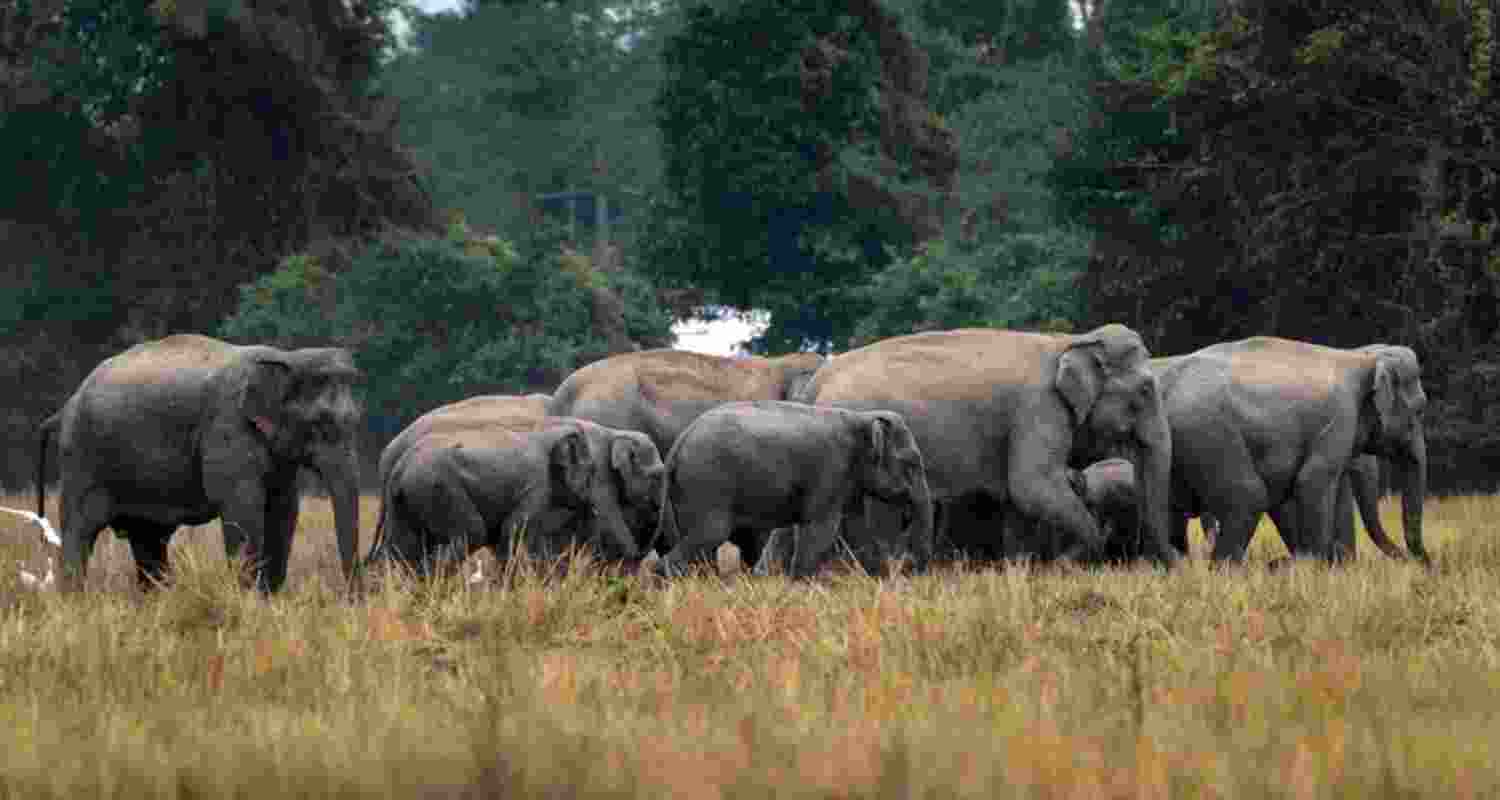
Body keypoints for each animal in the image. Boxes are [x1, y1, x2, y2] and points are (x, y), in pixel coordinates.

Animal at [36, 334, 363, 593]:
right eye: (321, 425)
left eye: (356, 421)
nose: (352, 599)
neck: (287, 357)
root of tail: (65, 407)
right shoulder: (228, 428)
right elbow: (242, 509)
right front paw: (247, 599)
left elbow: (283, 510)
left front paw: (268, 600)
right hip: (81, 457)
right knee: (80, 532)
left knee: (148, 541)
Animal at [365, 417, 664, 576]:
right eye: (657, 476)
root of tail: (398, 465)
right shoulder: (546, 485)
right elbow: (513, 531)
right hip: (439, 488)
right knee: (470, 533)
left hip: (406, 498)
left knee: (401, 548)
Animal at [652, 401, 933, 579]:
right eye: (911, 463)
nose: (909, 569)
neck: (861, 417)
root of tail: (678, 444)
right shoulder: (830, 468)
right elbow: (821, 529)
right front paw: (801, 585)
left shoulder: (848, 479)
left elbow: (857, 530)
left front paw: (883, 584)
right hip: (707, 484)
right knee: (709, 535)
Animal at [795, 325, 1177, 570]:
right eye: (1146, 390)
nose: (1172, 562)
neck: (1071, 342)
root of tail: (816, 383)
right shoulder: (1039, 408)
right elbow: (1032, 485)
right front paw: (1066, 564)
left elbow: (1019, 501)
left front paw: (1022, 569)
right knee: (880, 510)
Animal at [1151, 338, 1427, 565]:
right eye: (1420, 409)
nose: (1423, 564)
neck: (1361, 359)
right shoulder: (1339, 419)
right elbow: (1312, 482)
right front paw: (1312, 567)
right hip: (1210, 433)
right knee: (1248, 497)